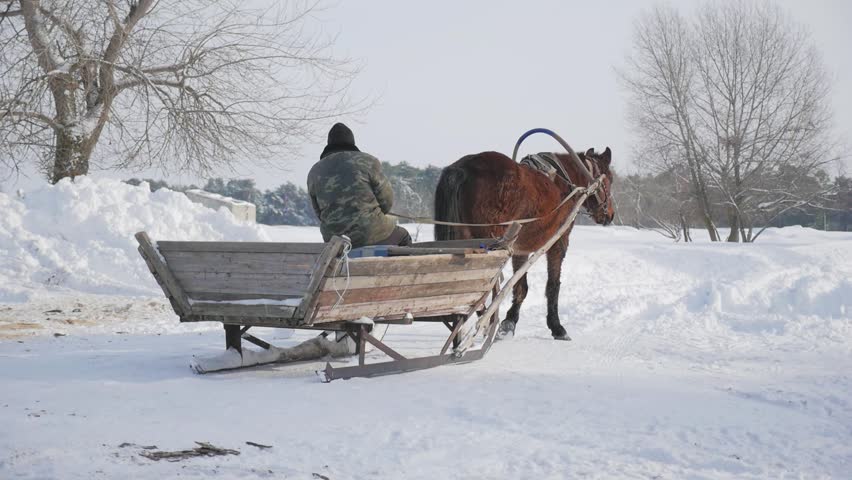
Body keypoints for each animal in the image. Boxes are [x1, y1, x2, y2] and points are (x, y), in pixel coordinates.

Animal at [433, 147, 615, 340]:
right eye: (609, 179)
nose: (610, 215)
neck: (565, 185)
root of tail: (464, 168)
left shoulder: (520, 249)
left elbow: (521, 286)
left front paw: (509, 323)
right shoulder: (558, 242)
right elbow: (553, 285)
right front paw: (557, 326)